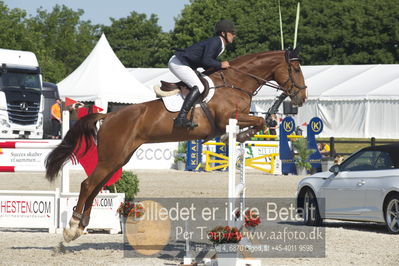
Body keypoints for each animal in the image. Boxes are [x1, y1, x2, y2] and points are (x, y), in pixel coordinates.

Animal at [47, 46, 310, 242]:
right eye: (296, 69)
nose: (302, 98)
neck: (236, 82)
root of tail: (108, 115)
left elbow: (260, 122)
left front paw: (244, 135)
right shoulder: (227, 118)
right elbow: (258, 120)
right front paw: (237, 136)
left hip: (118, 158)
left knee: (95, 186)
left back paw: (80, 227)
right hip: (112, 157)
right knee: (88, 184)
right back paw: (72, 226)